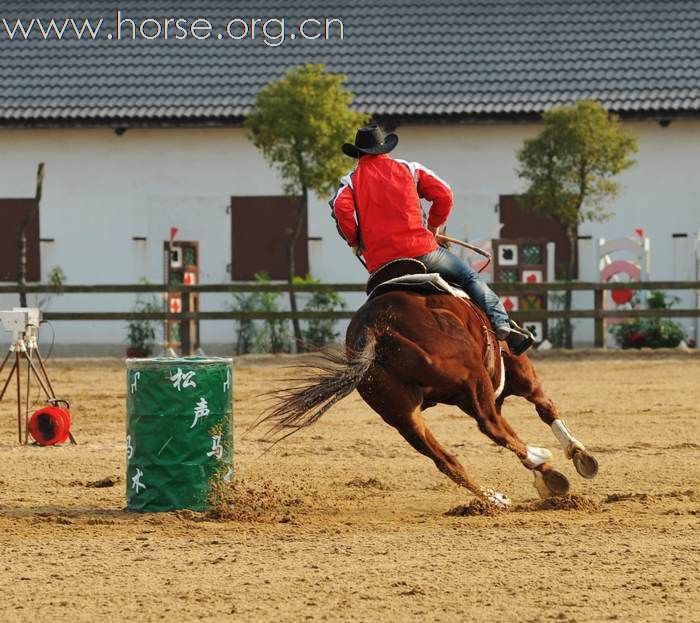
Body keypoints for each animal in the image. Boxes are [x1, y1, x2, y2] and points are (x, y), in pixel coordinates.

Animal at [258, 260, 596, 510]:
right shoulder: (518, 372)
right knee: (491, 426)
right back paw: (537, 458)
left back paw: (495, 497)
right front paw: (578, 455)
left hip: (402, 416)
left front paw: (547, 477)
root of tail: (375, 325)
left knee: (447, 460)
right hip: (473, 378)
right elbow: (543, 405)